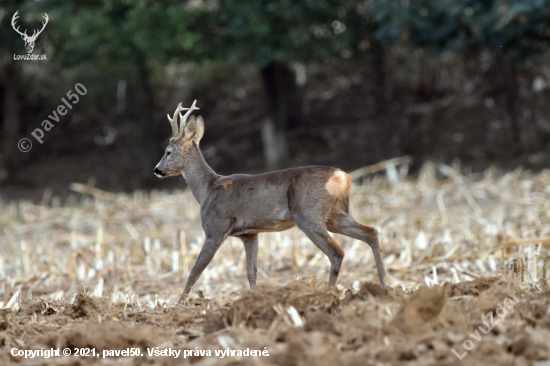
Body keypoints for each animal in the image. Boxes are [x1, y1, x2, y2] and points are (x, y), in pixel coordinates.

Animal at [154, 100, 388, 304]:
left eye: (168, 152)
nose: (157, 170)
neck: (207, 188)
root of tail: (343, 177)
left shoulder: (214, 230)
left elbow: (194, 272)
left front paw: (178, 305)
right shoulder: (249, 234)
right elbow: (252, 272)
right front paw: (255, 298)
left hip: (308, 214)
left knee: (337, 252)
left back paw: (329, 294)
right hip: (336, 214)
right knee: (371, 232)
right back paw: (385, 286)